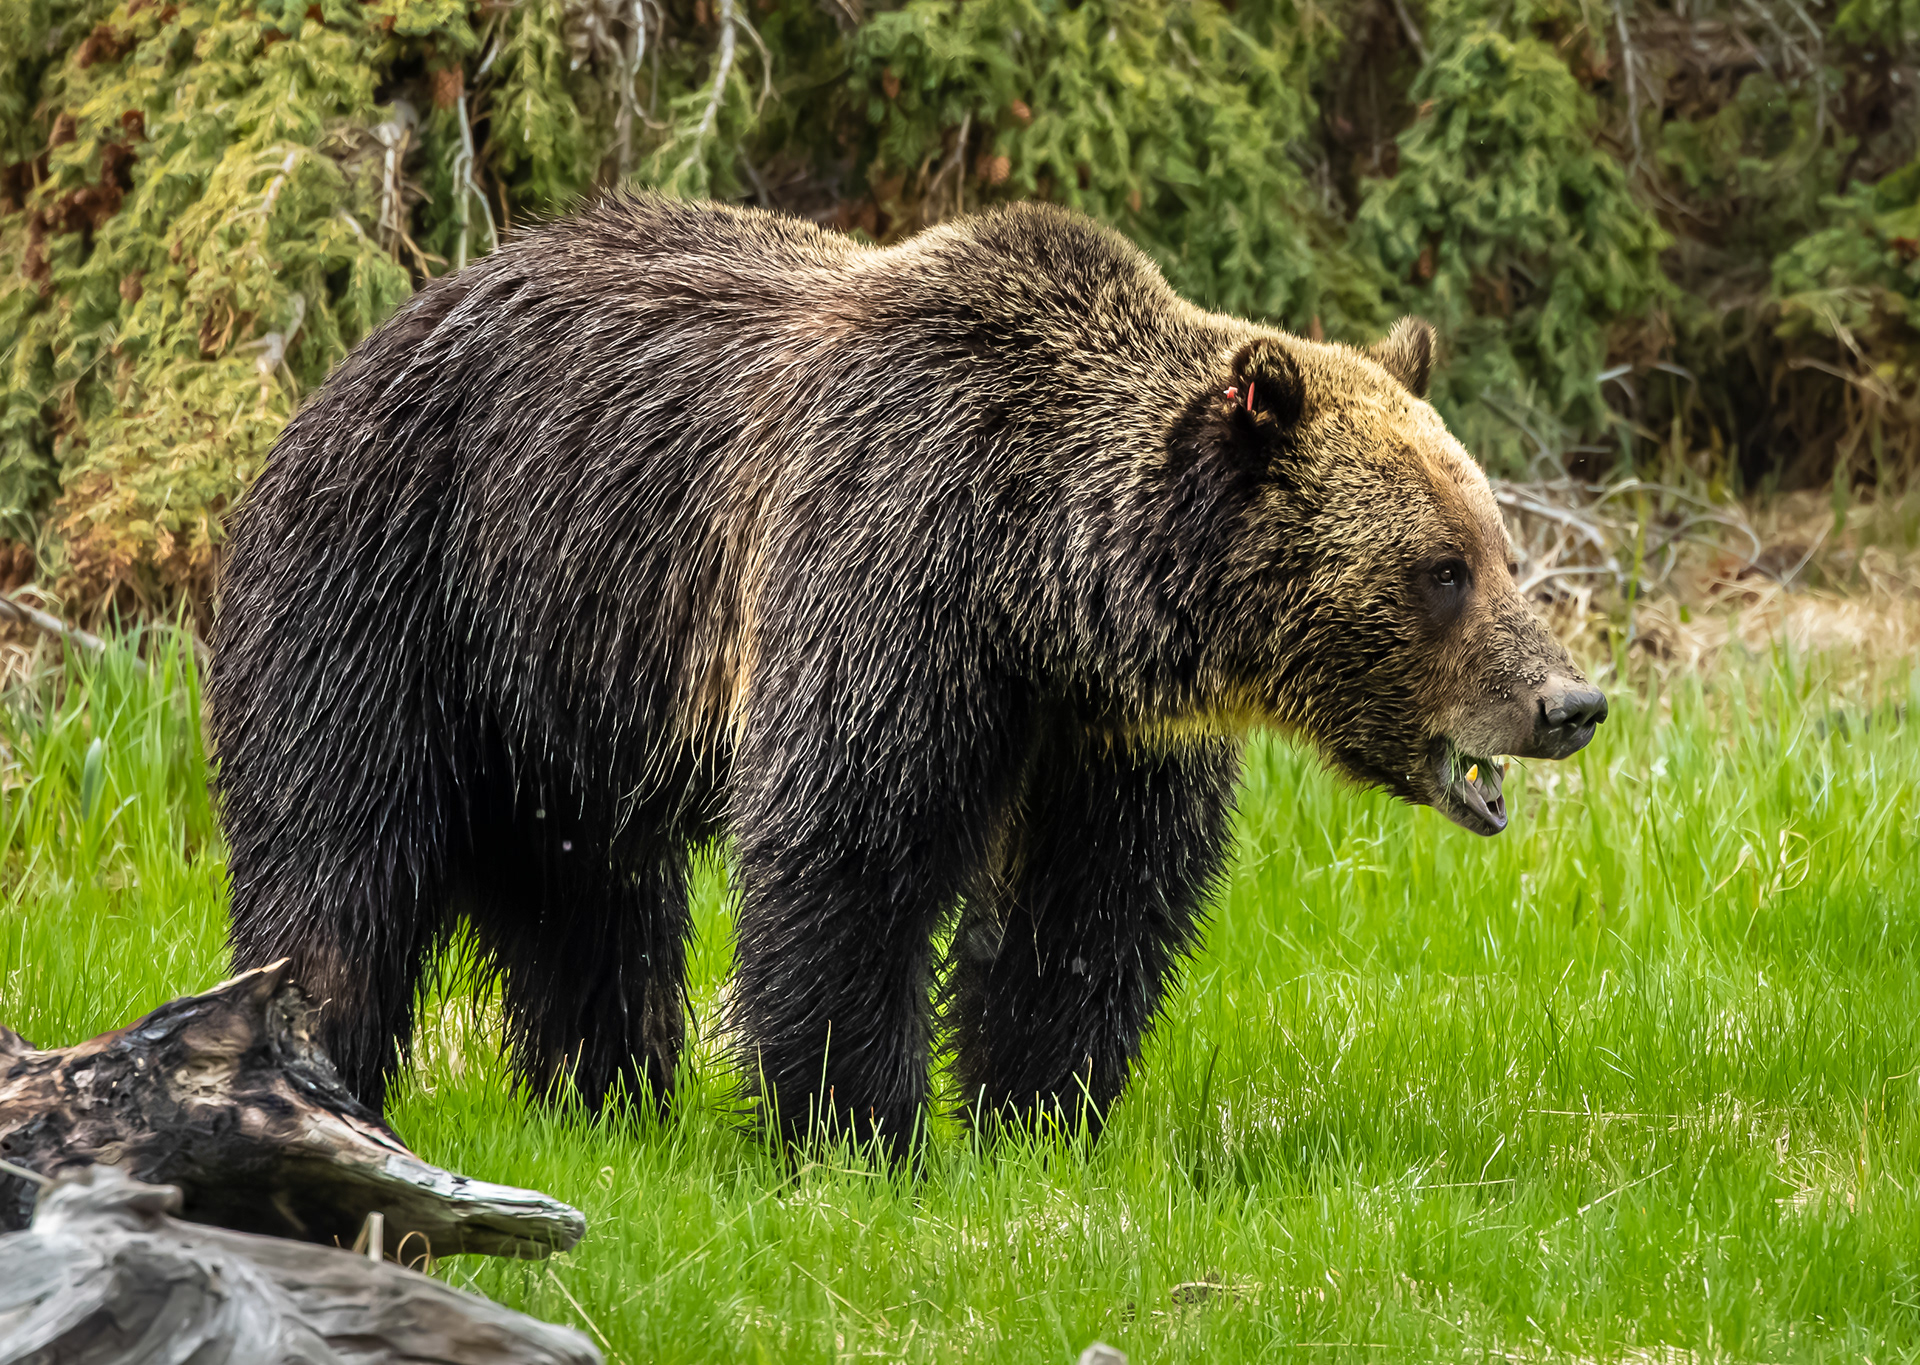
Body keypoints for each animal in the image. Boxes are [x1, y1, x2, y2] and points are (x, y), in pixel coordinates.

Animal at [210, 193, 1606, 1150]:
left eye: (1499, 545)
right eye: (1441, 569)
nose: (1571, 703)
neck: (1040, 577)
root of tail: (370, 337)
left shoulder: (1099, 731)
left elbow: (1090, 905)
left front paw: (1039, 1115)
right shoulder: (891, 570)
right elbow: (851, 846)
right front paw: (860, 1129)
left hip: (567, 689)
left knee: (592, 903)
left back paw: (607, 1098)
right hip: (398, 586)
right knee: (338, 864)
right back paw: (317, 1077)